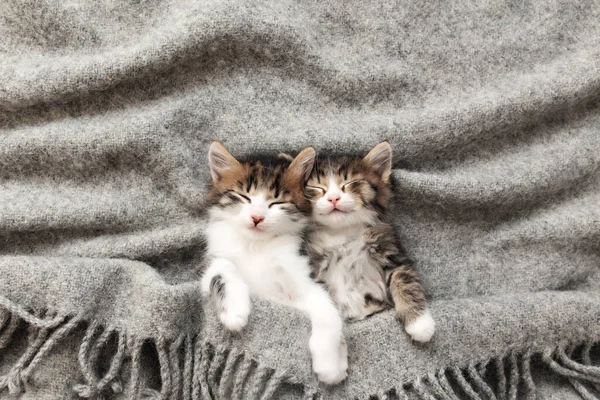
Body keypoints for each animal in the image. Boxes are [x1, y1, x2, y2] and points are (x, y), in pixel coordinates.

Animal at [202, 143, 350, 384]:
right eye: (244, 197)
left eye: (276, 202)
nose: (257, 217)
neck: (256, 245)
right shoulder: (213, 259)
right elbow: (223, 268)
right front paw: (234, 311)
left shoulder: (302, 276)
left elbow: (328, 311)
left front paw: (331, 364)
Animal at [308, 142, 434, 342]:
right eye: (316, 187)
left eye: (349, 183)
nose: (333, 198)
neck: (343, 231)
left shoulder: (391, 249)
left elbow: (405, 280)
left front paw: (419, 323)